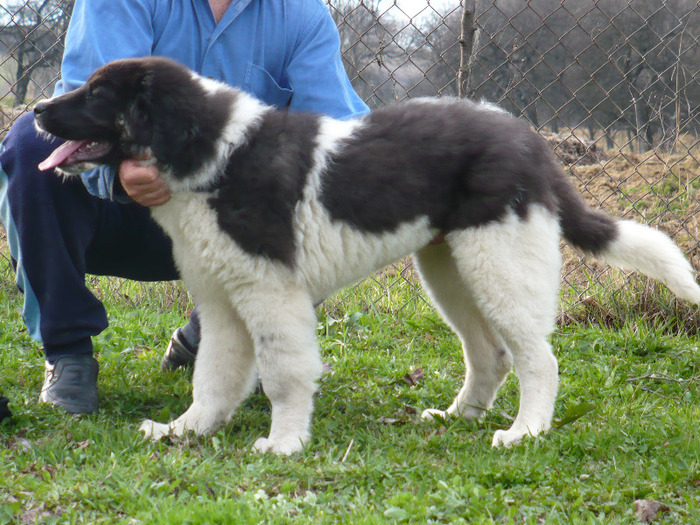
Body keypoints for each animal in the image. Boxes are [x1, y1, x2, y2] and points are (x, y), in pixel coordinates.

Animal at [34, 56, 700, 450]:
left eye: (97, 94)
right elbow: (214, 377)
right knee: (490, 353)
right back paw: (458, 417)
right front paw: (185, 430)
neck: (212, 152)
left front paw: (284, 445)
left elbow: (283, 373)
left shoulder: (269, 293)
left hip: (499, 262)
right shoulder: (223, 299)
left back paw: (524, 431)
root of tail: (531, 142)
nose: (39, 109)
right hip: (449, 269)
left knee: (539, 358)